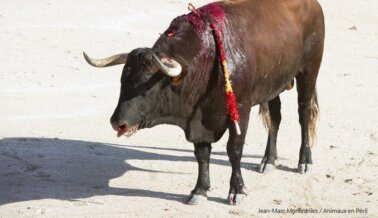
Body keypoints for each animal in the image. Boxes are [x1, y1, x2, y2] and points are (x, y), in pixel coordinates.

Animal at [83, 0, 324, 204]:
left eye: (147, 86)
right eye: (123, 82)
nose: (118, 122)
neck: (206, 61)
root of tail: (313, 5)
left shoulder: (240, 110)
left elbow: (234, 150)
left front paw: (236, 191)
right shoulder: (197, 119)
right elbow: (201, 154)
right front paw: (199, 190)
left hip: (309, 71)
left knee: (304, 112)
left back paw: (304, 161)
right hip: (274, 85)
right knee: (275, 117)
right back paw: (268, 160)